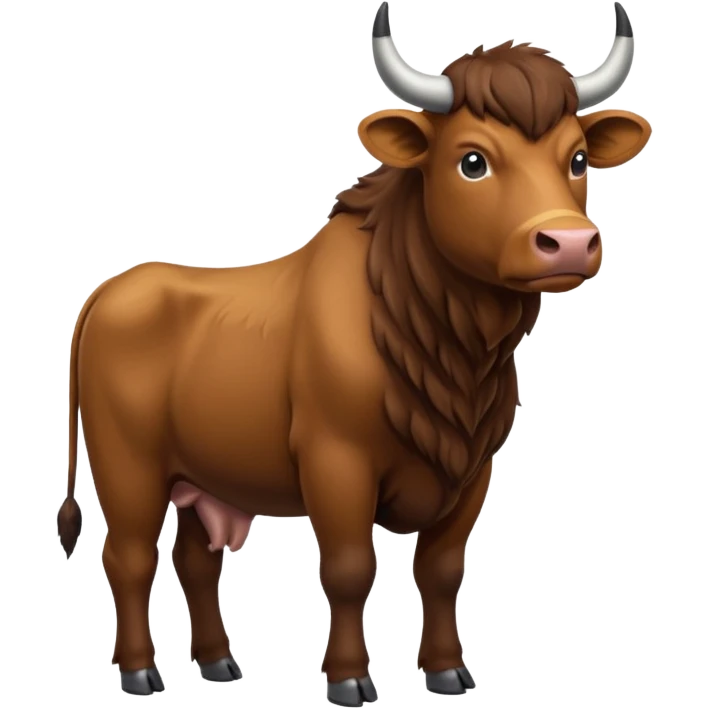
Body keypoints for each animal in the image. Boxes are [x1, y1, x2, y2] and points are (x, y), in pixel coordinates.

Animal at [57, 1, 651, 704]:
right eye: (472, 161)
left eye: (579, 158)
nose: (569, 241)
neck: (442, 344)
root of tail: (115, 287)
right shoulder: (336, 462)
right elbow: (348, 568)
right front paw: (347, 678)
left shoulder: (475, 470)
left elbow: (441, 569)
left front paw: (447, 670)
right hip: (128, 467)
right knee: (128, 556)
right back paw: (139, 669)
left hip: (202, 475)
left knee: (195, 560)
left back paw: (220, 663)